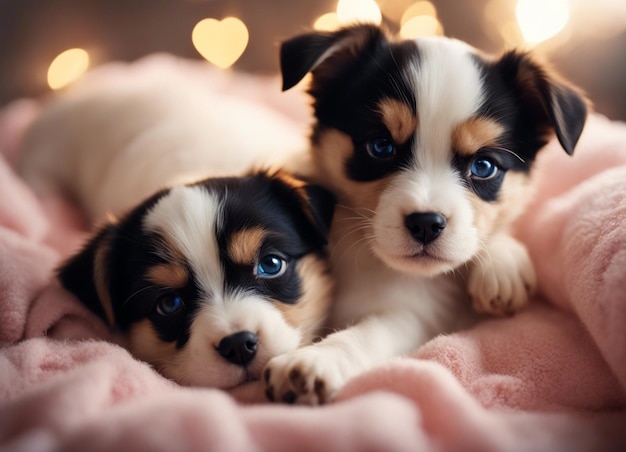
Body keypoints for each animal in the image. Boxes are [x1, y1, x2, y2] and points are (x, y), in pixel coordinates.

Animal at [262, 24, 584, 404]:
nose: (426, 224)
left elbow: (375, 331)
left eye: (484, 166)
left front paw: (316, 361)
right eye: (380, 146)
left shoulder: (419, 316)